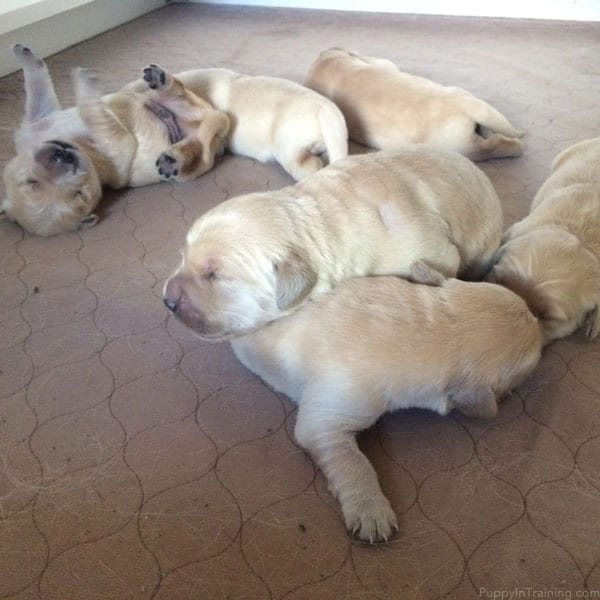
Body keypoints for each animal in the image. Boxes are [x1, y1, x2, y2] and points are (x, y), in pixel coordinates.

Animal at [1, 44, 231, 236]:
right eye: (79, 194)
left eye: (30, 182)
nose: (64, 156)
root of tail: (213, 117)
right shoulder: (119, 144)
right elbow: (93, 114)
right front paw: (86, 86)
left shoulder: (37, 121)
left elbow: (38, 88)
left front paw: (25, 55)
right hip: (190, 149)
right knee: (194, 146)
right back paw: (172, 157)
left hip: (176, 103)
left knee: (174, 90)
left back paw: (159, 79)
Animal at [232, 276, 548, 544]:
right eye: (528, 369)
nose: (540, 318)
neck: (425, 330)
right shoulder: (327, 420)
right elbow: (355, 463)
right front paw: (371, 510)